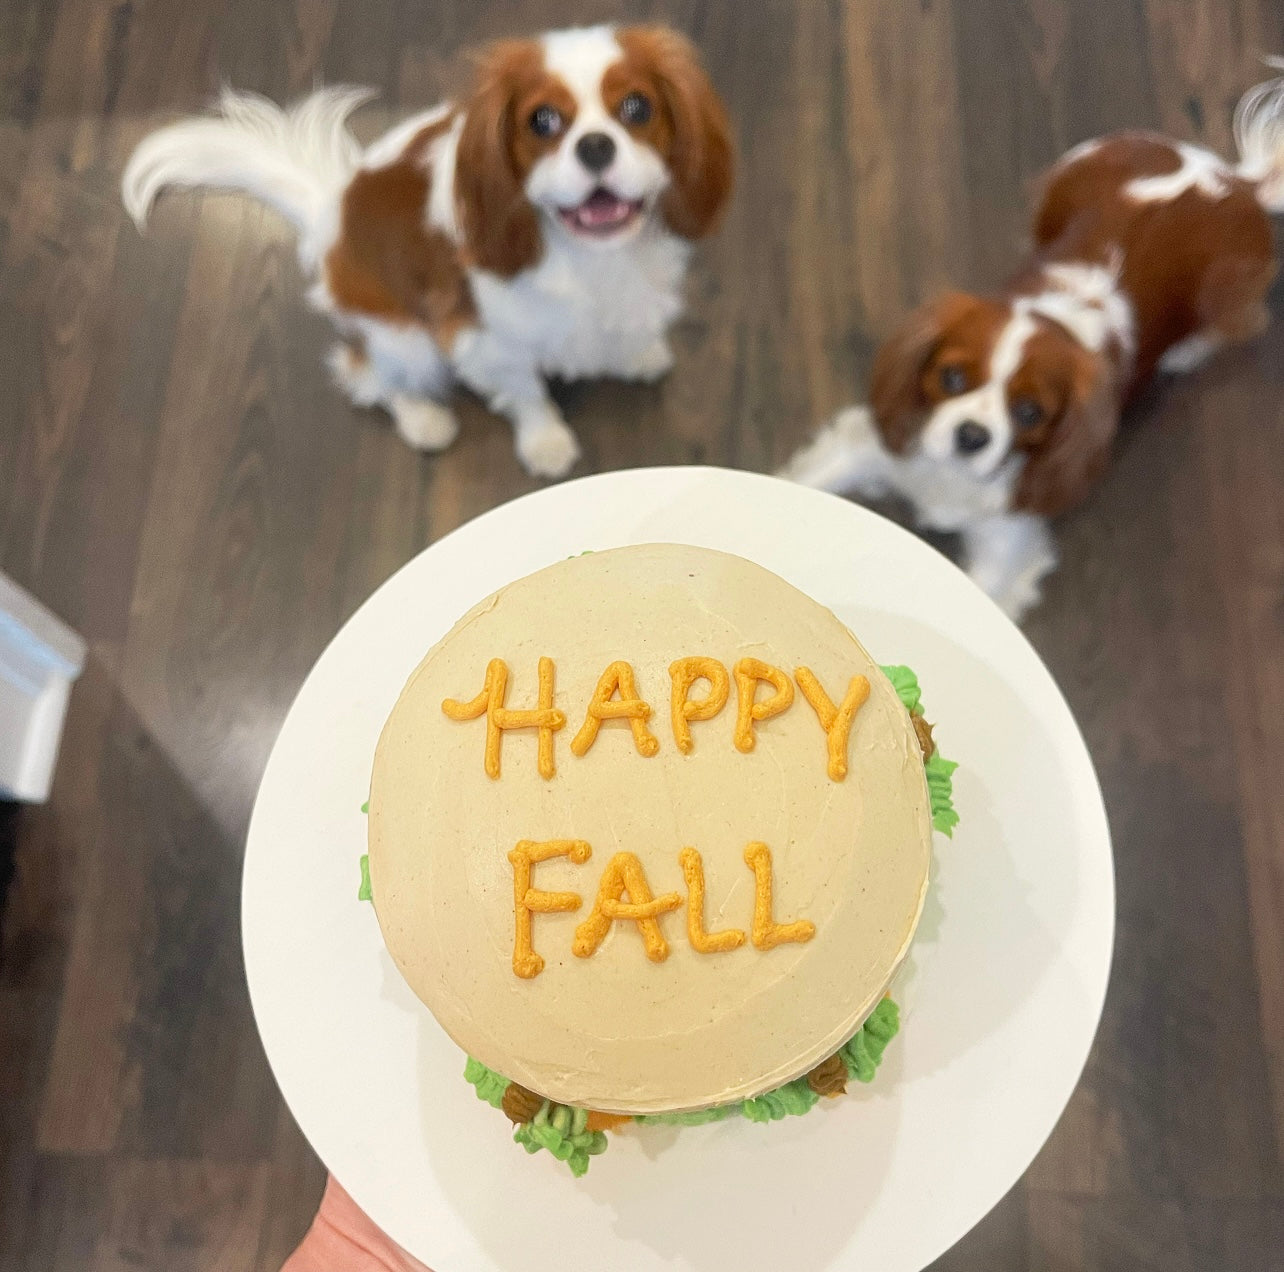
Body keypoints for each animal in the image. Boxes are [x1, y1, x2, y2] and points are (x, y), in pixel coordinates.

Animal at [130, 27, 739, 480]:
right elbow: (526, 391)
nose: (595, 145)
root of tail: (329, 210)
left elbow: (621, 329)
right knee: (365, 375)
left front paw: (636, 353)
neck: (588, 255)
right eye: (542, 120)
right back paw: (422, 417)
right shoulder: (479, 336)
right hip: (405, 337)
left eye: (637, 108)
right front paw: (545, 442)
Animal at [780, 65, 1284, 621]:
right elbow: (804, 482)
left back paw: (1186, 350)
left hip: (1232, 289)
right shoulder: (869, 446)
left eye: (1029, 413)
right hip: (1074, 167)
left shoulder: (1008, 546)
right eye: (951, 377)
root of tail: (1231, 180)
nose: (972, 435)